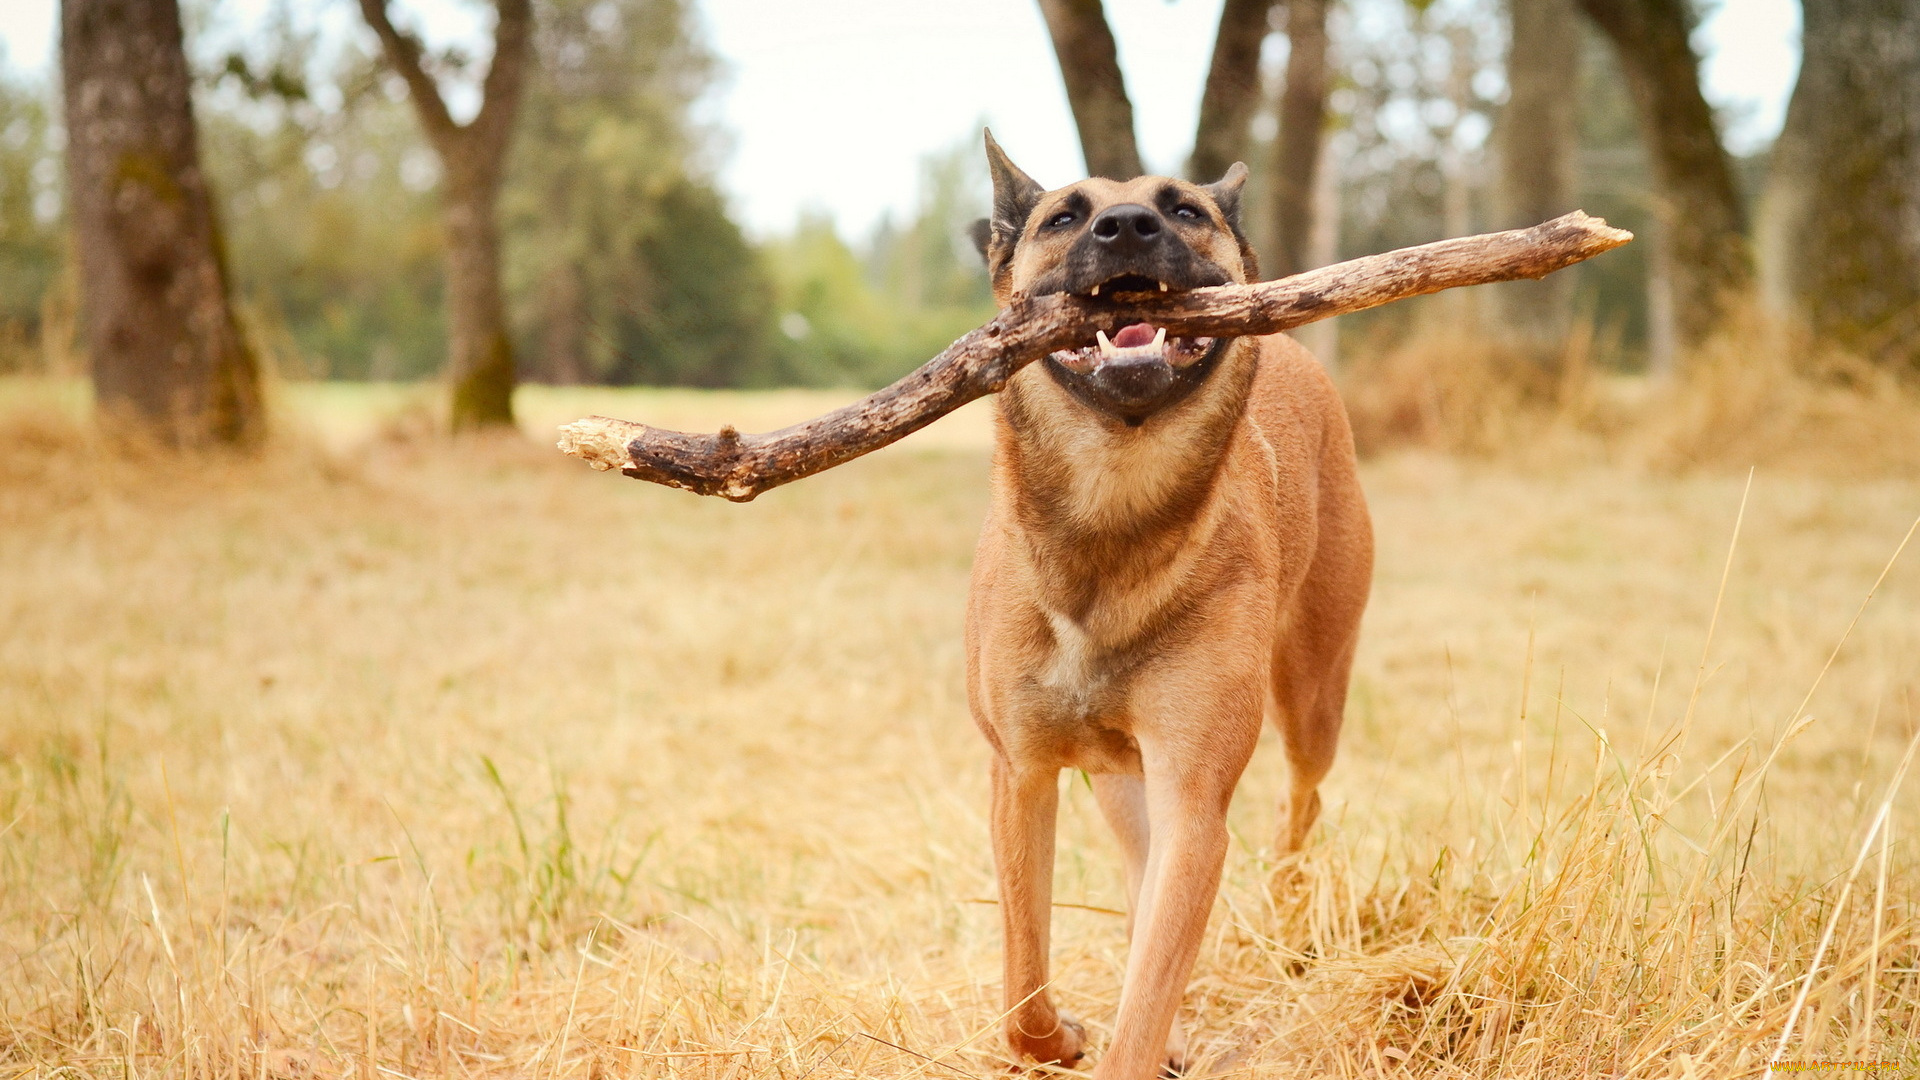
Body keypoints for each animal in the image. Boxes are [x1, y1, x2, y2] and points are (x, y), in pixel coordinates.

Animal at [967, 130, 1374, 1068]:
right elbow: (1023, 986)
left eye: (1184, 209)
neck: (1112, 514)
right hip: (1124, 778)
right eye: (1063, 217)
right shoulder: (1023, 775)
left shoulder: (1194, 797)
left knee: (1303, 800)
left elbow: (1148, 987)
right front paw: (1060, 1037)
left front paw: (1124, 1041)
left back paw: (1290, 919)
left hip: (1311, 693)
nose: (1126, 227)